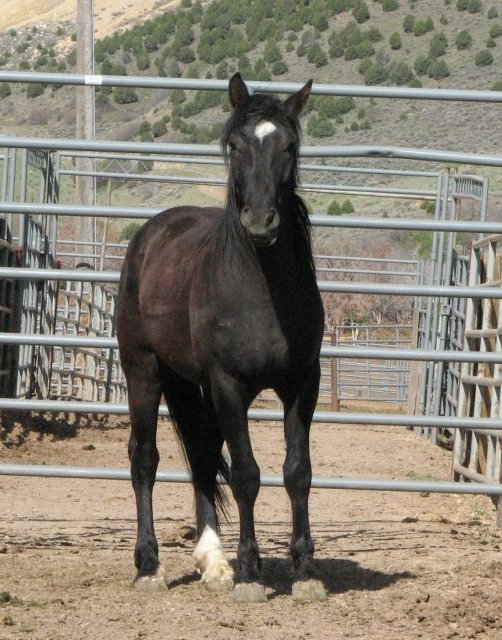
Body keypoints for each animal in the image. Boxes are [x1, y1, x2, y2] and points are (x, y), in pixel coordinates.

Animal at [118, 72, 326, 604]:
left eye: (290, 146)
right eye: (235, 146)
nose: (260, 222)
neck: (261, 294)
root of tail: (152, 233)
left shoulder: (302, 385)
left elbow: (297, 472)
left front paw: (305, 573)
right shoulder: (230, 386)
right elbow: (248, 475)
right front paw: (252, 575)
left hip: (190, 383)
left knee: (202, 454)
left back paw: (214, 562)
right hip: (143, 369)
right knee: (144, 459)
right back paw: (149, 567)